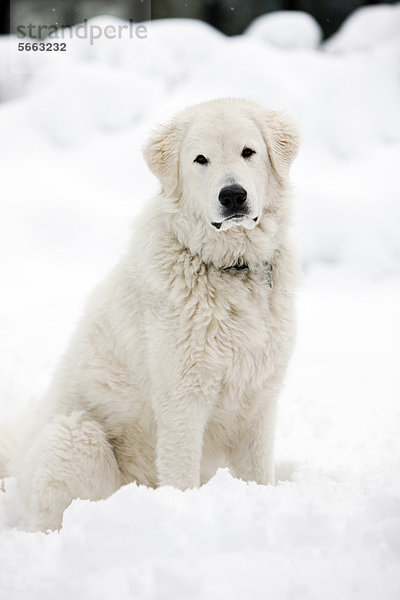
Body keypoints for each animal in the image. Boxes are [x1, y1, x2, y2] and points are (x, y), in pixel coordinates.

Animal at [1, 97, 300, 528]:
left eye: (249, 152)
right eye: (200, 159)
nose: (233, 196)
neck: (230, 269)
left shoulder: (259, 397)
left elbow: (258, 474)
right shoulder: (182, 398)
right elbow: (181, 473)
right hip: (77, 439)